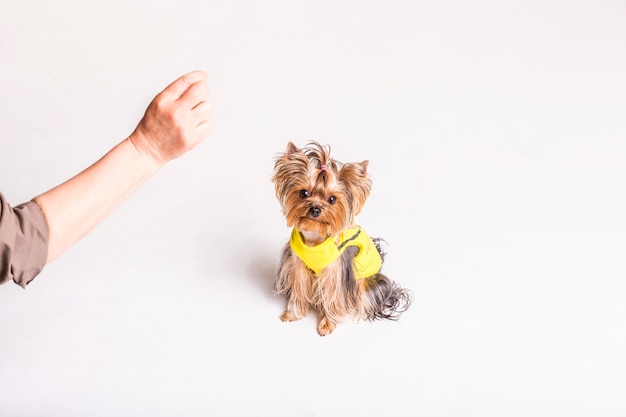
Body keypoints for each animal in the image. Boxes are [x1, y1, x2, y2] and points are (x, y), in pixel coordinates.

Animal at [272, 141, 410, 334]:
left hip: (366, 284)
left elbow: (333, 297)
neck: (315, 236)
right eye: (303, 193)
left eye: (332, 199)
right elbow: (299, 289)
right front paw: (293, 314)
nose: (315, 209)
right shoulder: (297, 265)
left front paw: (327, 324)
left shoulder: (336, 272)